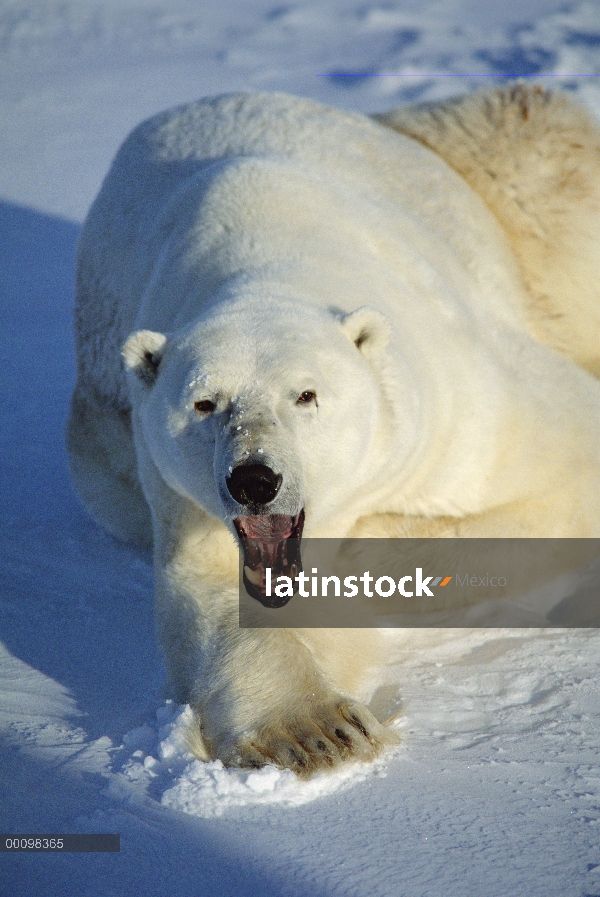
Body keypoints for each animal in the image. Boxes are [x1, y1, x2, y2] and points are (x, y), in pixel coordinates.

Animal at [68, 82, 600, 768]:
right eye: (205, 403)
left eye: (306, 395)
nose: (254, 480)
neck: (268, 257)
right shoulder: (172, 480)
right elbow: (211, 585)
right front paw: (318, 732)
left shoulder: (465, 398)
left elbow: (562, 463)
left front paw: (367, 548)